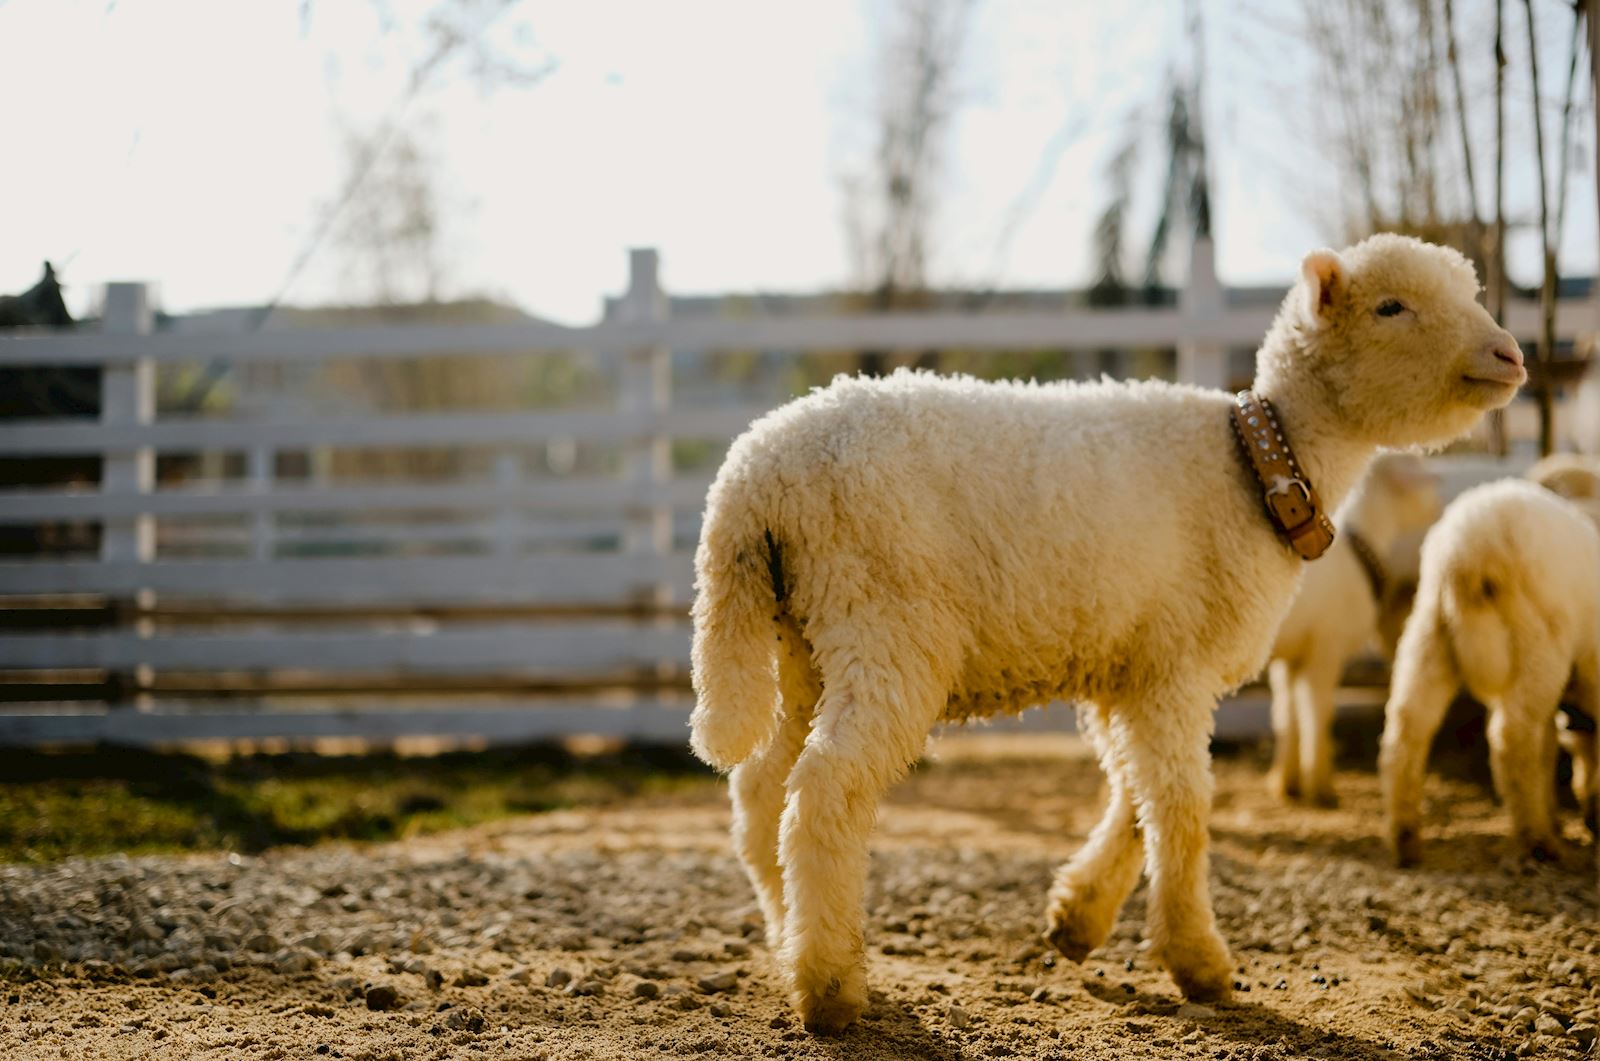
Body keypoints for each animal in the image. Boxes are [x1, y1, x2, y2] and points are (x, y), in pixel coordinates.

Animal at [1266, 453, 1442, 806]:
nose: (1439, 506)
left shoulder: (1291, 657)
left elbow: (1287, 716)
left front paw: (1287, 784)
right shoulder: (1326, 647)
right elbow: (1318, 713)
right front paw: (1321, 788)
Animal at [1379, 479, 1600, 867]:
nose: (1592, 823)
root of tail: (1471, 548)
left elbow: (1547, 750)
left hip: (1428, 636)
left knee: (1406, 729)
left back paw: (1405, 839)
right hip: (1539, 644)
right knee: (1512, 738)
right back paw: (1538, 842)